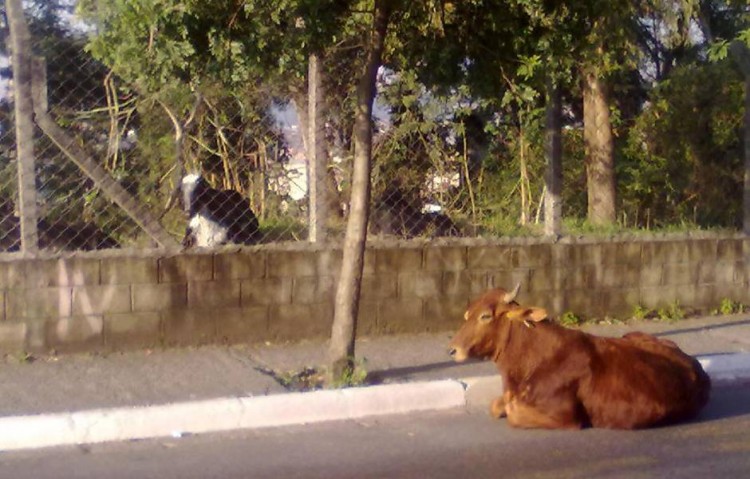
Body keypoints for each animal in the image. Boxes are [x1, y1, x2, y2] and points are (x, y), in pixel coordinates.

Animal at [450, 288, 712, 432]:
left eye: (485, 316)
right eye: (466, 314)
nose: (452, 349)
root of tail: (696, 367)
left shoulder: (564, 416)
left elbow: (512, 414)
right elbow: (496, 406)